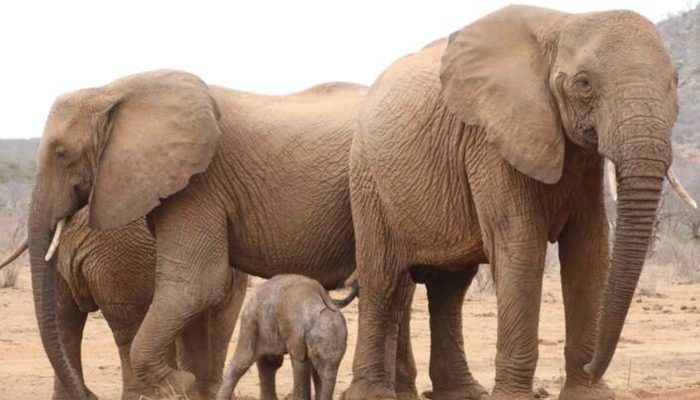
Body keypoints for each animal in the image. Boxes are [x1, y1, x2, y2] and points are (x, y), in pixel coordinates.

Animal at [217, 274, 348, 400]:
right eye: (316, 355)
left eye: (341, 358)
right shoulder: (296, 335)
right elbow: (301, 365)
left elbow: (316, 373)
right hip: (251, 319)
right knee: (243, 361)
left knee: (270, 364)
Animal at [343, 5, 696, 400]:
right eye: (584, 84)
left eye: (675, 81)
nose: (594, 366)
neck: (564, 23)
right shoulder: (491, 139)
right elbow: (522, 246)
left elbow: (589, 248)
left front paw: (589, 393)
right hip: (368, 179)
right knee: (382, 280)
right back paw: (370, 394)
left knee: (450, 288)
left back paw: (463, 393)